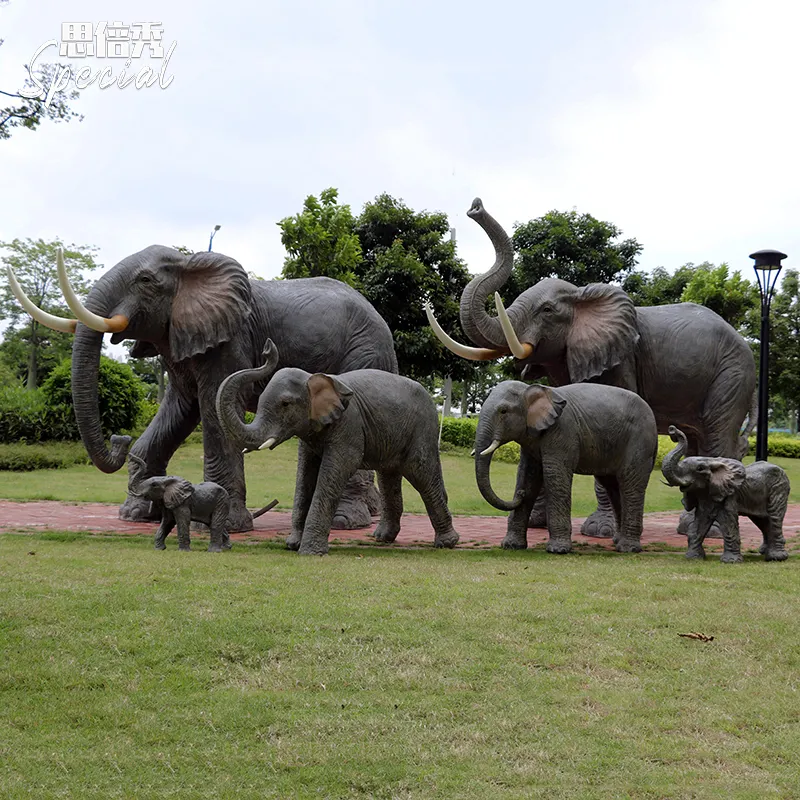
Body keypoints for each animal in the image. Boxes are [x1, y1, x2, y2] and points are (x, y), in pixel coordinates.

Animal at [5, 244, 394, 532]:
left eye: (145, 280)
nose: (120, 440)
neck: (187, 263)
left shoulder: (230, 340)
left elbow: (214, 409)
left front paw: (223, 525)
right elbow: (177, 411)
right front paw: (135, 514)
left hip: (365, 351)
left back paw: (346, 521)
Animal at [424, 198, 756, 540]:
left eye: (547, 311)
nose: (475, 207)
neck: (582, 294)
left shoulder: (621, 358)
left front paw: (598, 531)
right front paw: (539, 523)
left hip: (734, 373)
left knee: (718, 434)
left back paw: (710, 531)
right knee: (698, 438)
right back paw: (689, 527)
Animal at [664, 424, 788, 564]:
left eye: (700, 469)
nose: (672, 430)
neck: (711, 461)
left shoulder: (729, 495)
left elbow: (728, 521)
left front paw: (730, 561)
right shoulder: (708, 494)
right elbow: (701, 520)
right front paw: (693, 558)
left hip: (778, 489)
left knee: (774, 518)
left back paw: (776, 558)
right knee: (762, 520)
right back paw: (764, 552)